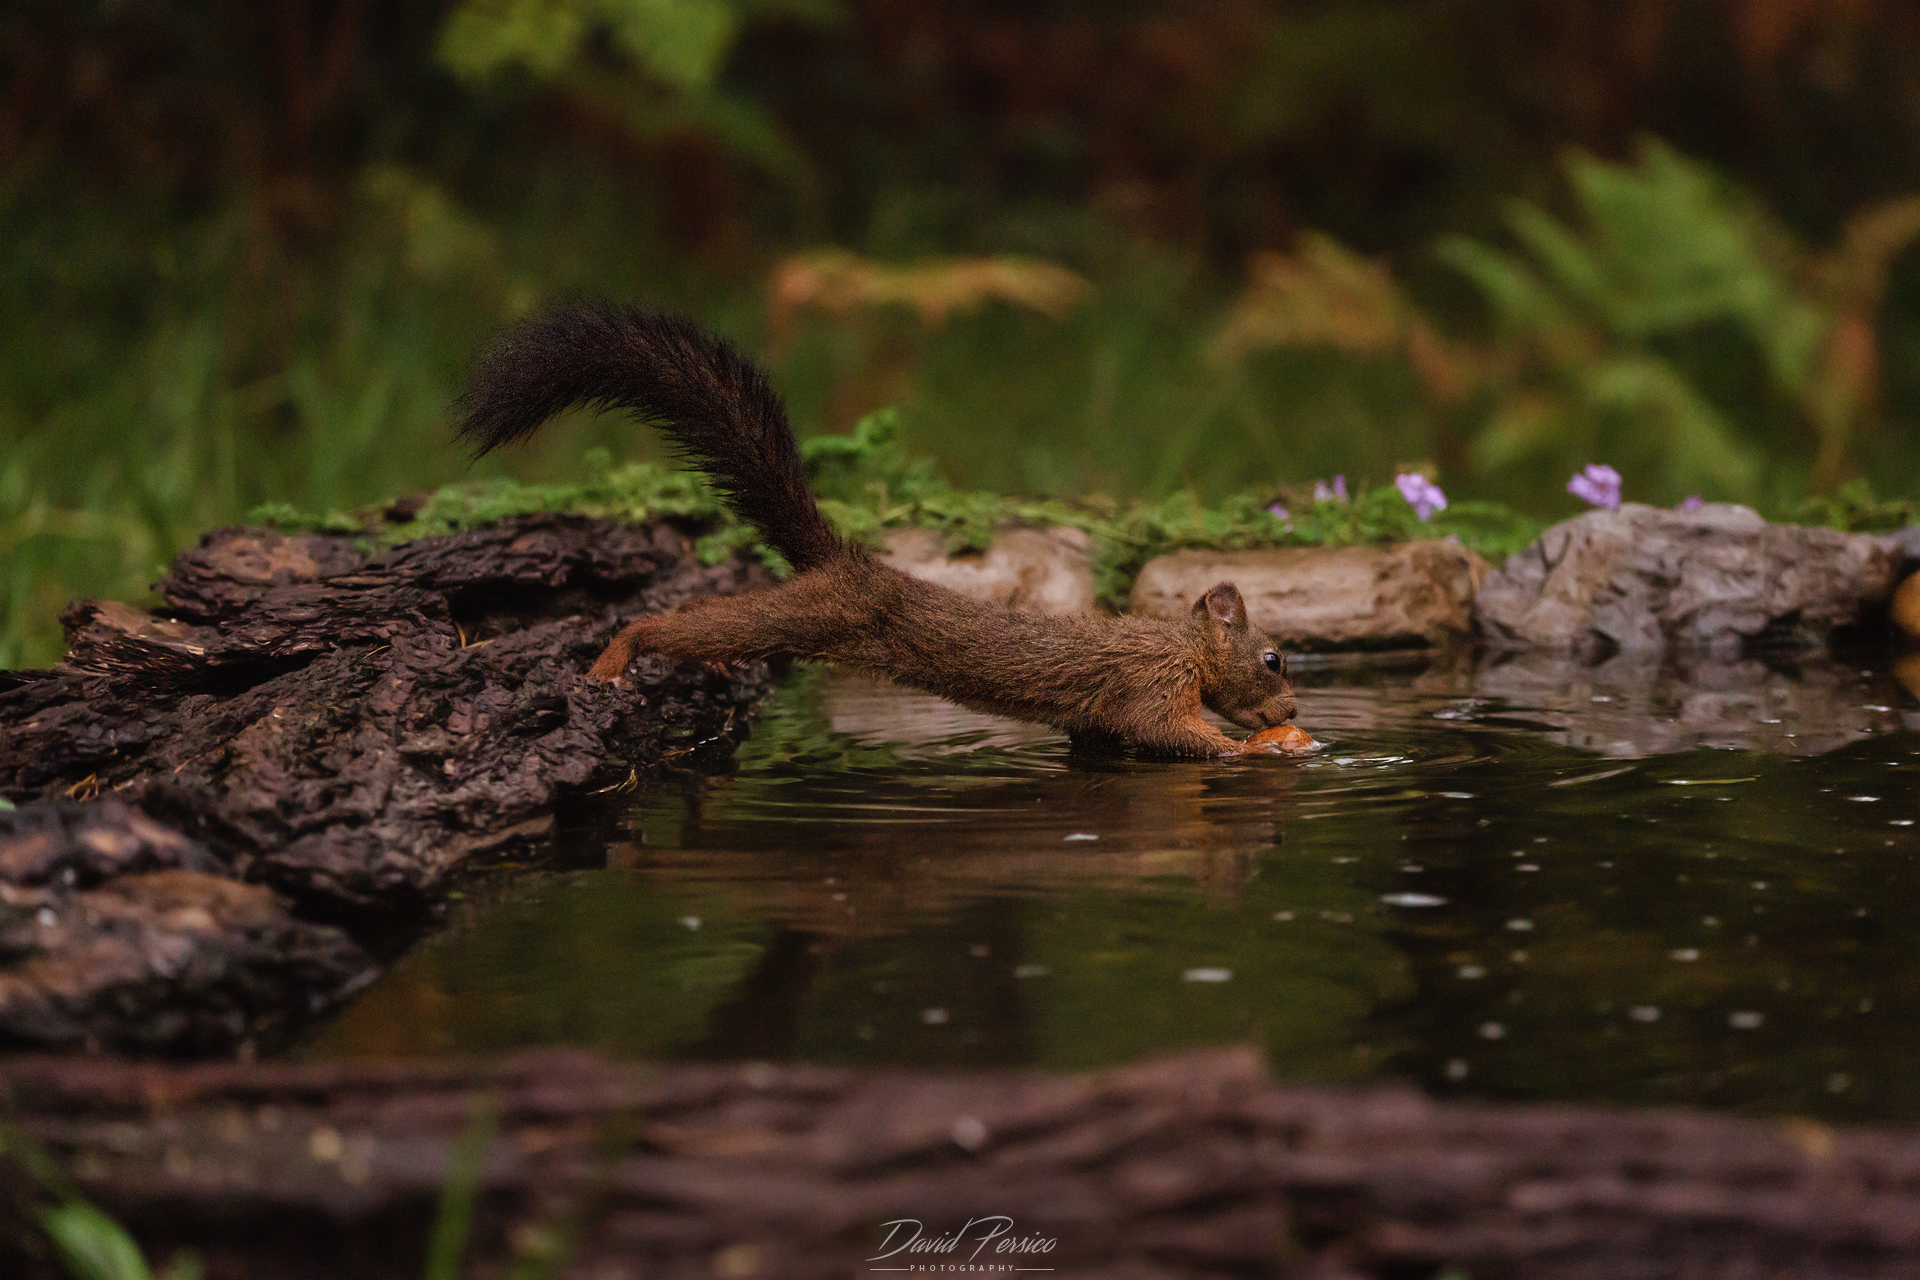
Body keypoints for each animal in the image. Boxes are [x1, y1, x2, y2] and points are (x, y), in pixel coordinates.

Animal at [456, 303, 1298, 758]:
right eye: (1274, 657)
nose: (1293, 713)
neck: (1173, 645)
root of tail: (848, 562)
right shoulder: (1152, 685)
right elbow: (1168, 731)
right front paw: (1241, 752)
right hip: (811, 614)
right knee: (674, 621)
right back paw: (613, 659)